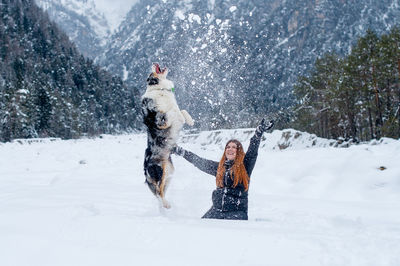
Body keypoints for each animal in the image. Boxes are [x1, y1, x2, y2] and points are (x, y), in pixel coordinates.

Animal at [142, 62, 194, 208]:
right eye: (150, 73)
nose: (153, 62)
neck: (160, 89)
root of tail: (145, 171)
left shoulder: (176, 111)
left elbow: (181, 110)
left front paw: (190, 121)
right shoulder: (160, 120)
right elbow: (168, 114)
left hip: (169, 173)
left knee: (160, 191)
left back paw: (165, 205)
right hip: (161, 170)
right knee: (159, 192)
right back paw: (166, 205)